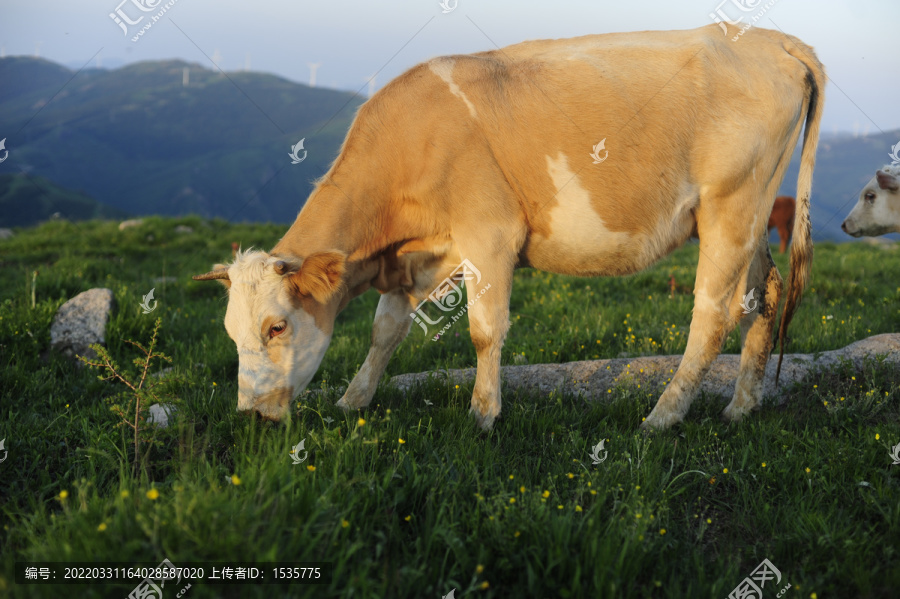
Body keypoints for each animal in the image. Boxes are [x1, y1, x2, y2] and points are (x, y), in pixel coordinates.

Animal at [195, 25, 824, 432]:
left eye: (277, 327)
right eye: (230, 333)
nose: (249, 415)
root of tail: (769, 37)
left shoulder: (489, 233)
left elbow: (484, 331)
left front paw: (482, 415)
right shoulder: (418, 258)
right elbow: (384, 332)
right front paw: (354, 401)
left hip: (730, 207)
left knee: (712, 315)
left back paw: (662, 418)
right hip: (752, 217)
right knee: (763, 296)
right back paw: (741, 407)